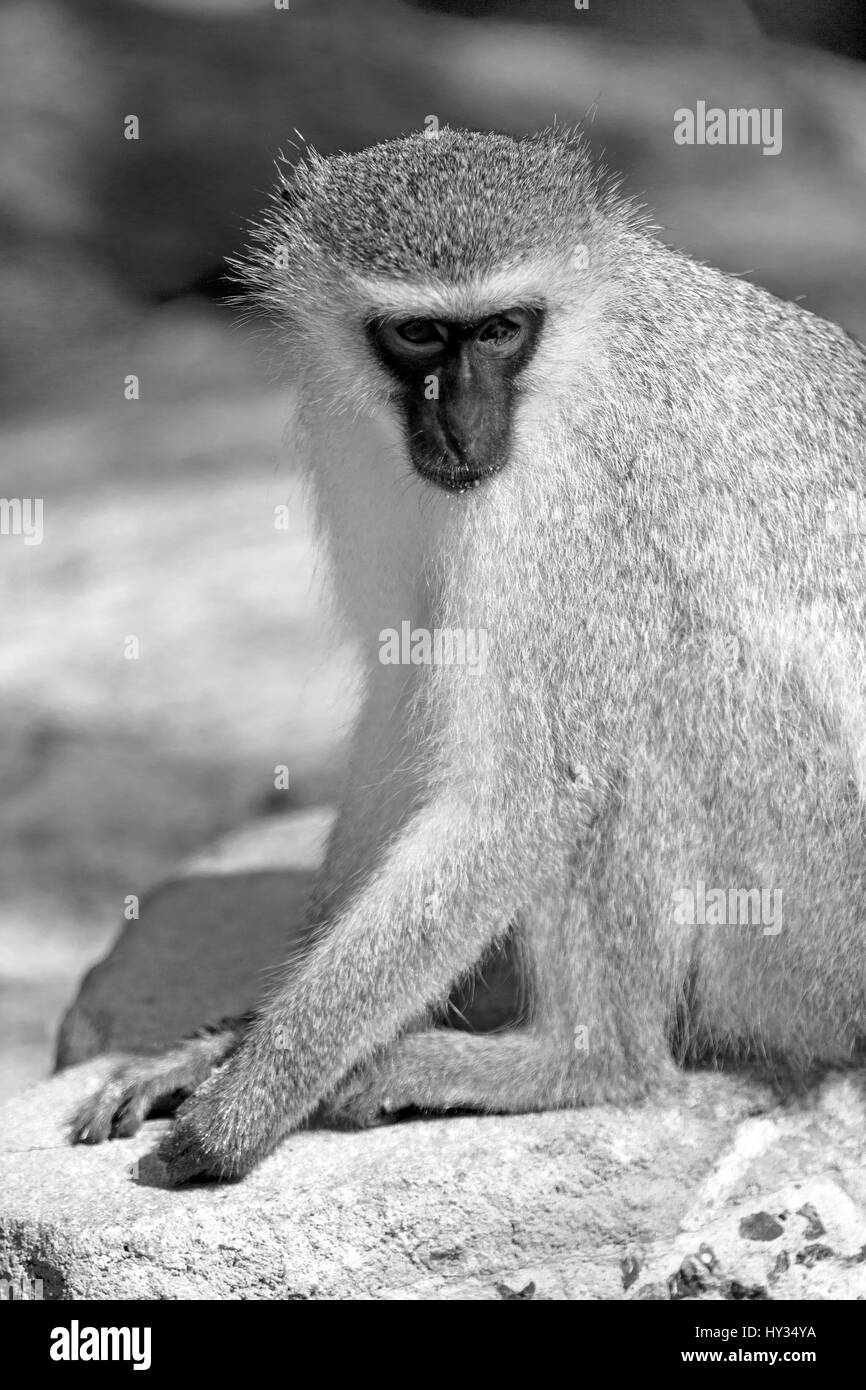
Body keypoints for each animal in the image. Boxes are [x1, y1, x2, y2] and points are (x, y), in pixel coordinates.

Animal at [71, 127, 866, 1184]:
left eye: (498, 332)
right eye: (419, 336)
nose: (459, 422)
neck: (577, 351)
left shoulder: (566, 494)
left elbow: (530, 792)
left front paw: (249, 1101)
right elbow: (403, 696)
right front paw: (230, 1043)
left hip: (818, 918)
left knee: (649, 709)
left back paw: (581, 1061)